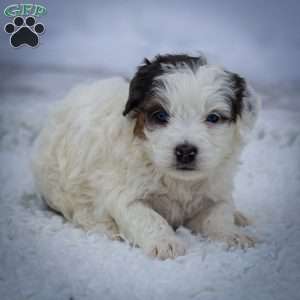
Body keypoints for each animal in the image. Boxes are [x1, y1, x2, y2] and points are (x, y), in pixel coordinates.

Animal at [31, 54, 258, 260]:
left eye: (213, 117)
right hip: (58, 184)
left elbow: (219, 214)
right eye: (160, 115)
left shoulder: (216, 191)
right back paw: (105, 227)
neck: (178, 181)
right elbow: (147, 217)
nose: (185, 151)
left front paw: (232, 235)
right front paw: (165, 243)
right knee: (79, 209)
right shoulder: (126, 194)